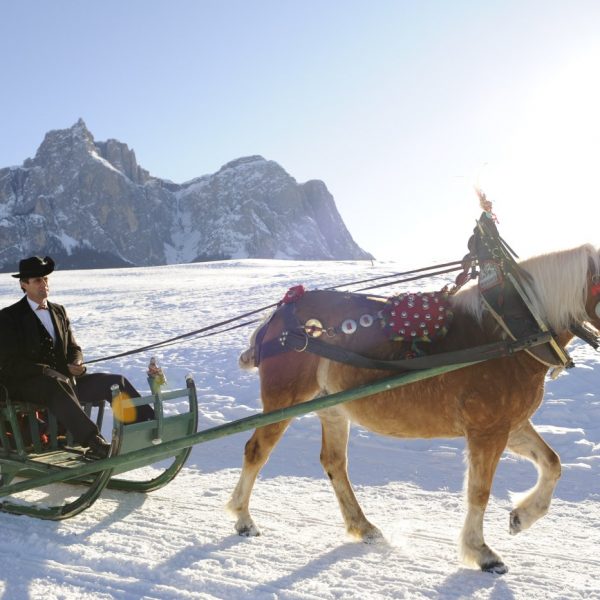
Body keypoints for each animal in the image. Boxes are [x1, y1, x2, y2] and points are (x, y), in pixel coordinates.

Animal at [226, 243, 600, 572]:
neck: (511, 330)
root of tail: (281, 312)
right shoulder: (487, 430)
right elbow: (479, 492)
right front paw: (481, 551)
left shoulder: (511, 425)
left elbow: (552, 464)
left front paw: (522, 516)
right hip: (284, 399)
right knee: (256, 451)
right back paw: (243, 517)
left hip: (333, 408)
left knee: (333, 462)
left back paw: (363, 526)